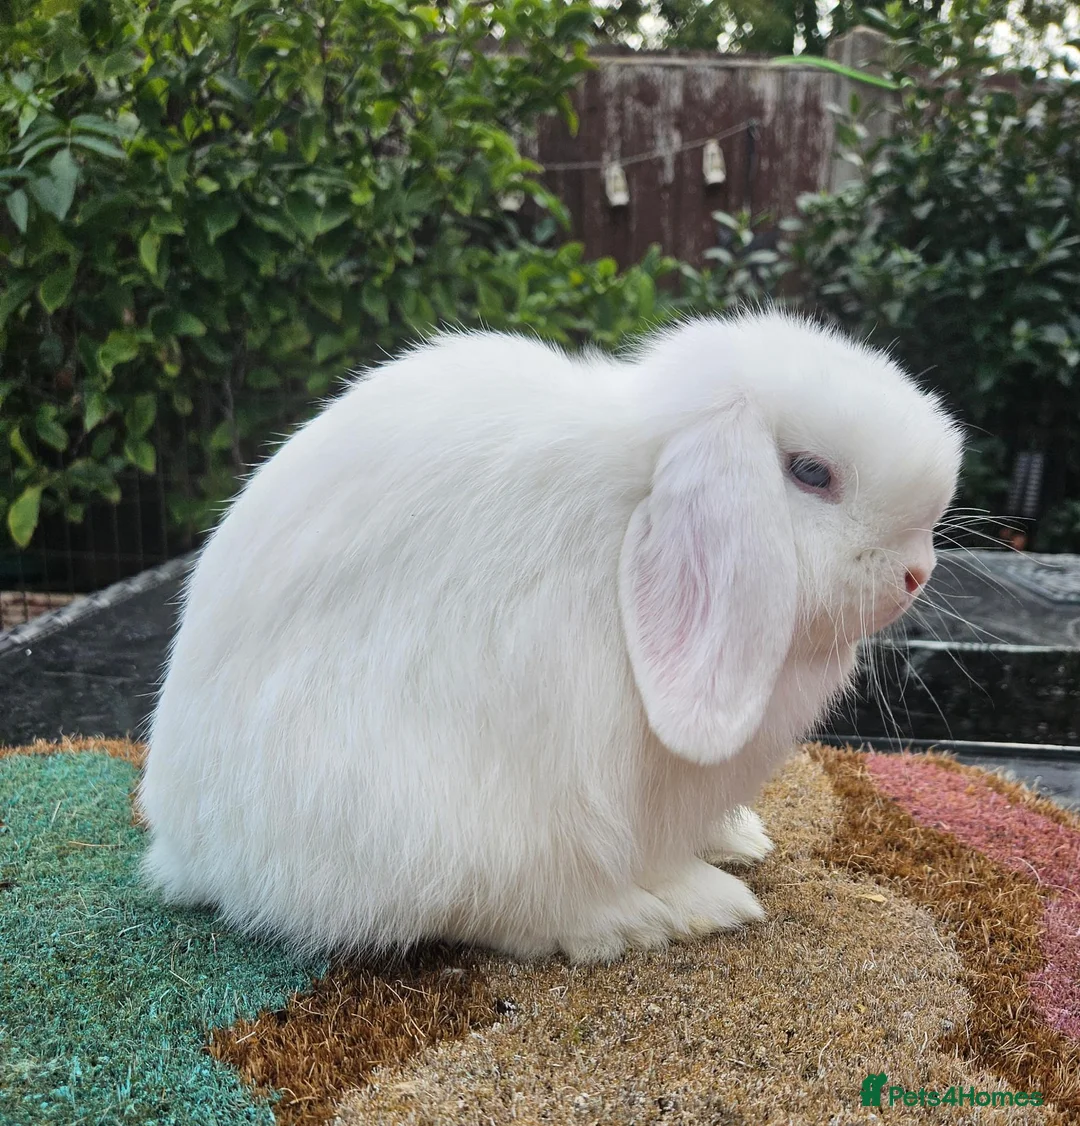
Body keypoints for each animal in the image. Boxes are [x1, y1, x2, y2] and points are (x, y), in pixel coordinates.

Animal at [139, 309, 963, 964]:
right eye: (810, 472)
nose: (916, 573)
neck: (630, 504)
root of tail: (190, 849)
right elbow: (646, 850)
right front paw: (702, 888)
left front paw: (739, 839)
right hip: (438, 817)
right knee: (501, 909)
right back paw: (654, 917)